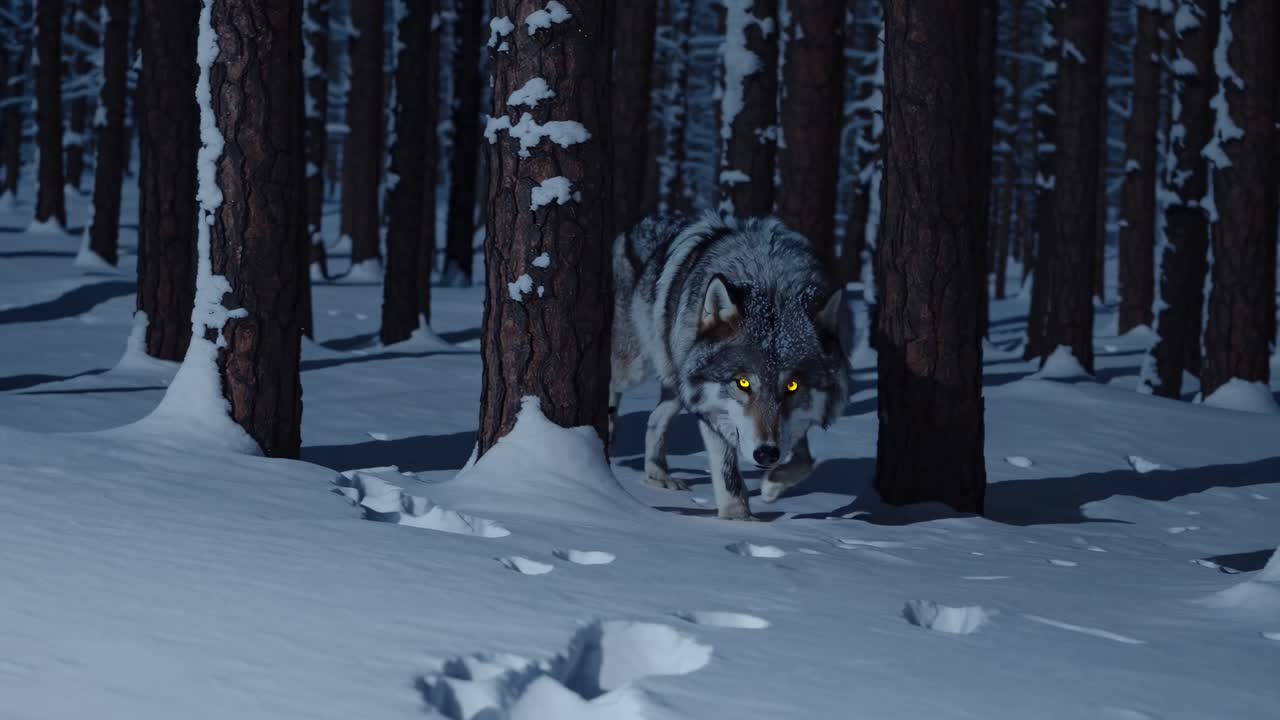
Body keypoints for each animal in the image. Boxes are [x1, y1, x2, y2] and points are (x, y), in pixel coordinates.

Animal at [609, 212, 850, 519]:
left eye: (793, 385)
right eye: (743, 383)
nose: (766, 454)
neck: (768, 278)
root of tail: (640, 223)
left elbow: (806, 461)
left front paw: (772, 486)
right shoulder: (710, 410)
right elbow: (728, 475)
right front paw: (738, 520)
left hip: (679, 383)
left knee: (655, 418)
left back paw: (658, 475)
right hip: (636, 369)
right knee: (611, 384)